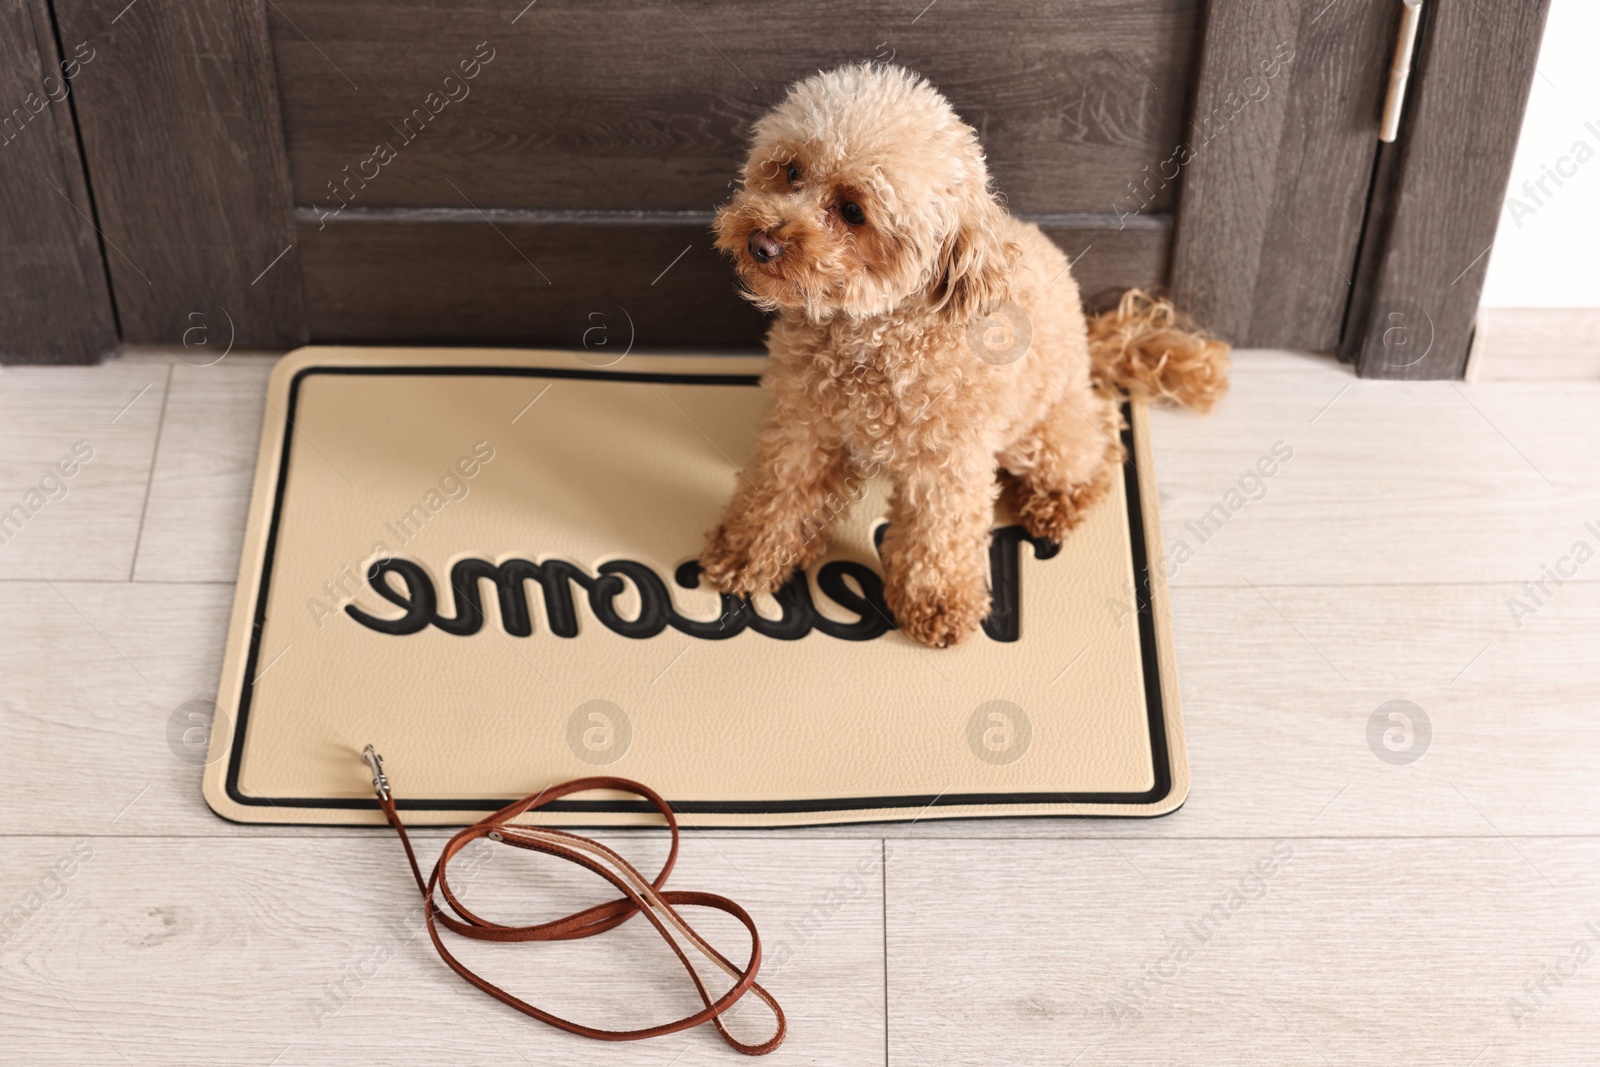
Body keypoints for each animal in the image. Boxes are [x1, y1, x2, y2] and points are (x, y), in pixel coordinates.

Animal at [697, 66, 1222, 652]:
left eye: (854, 211)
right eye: (790, 171)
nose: (761, 243)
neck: (875, 336)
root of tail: (1090, 340)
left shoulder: (949, 460)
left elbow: (938, 534)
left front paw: (938, 602)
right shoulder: (804, 428)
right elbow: (777, 493)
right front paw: (746, 555)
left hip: (1044, 433)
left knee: (1099, 444)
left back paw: (1059, 502)